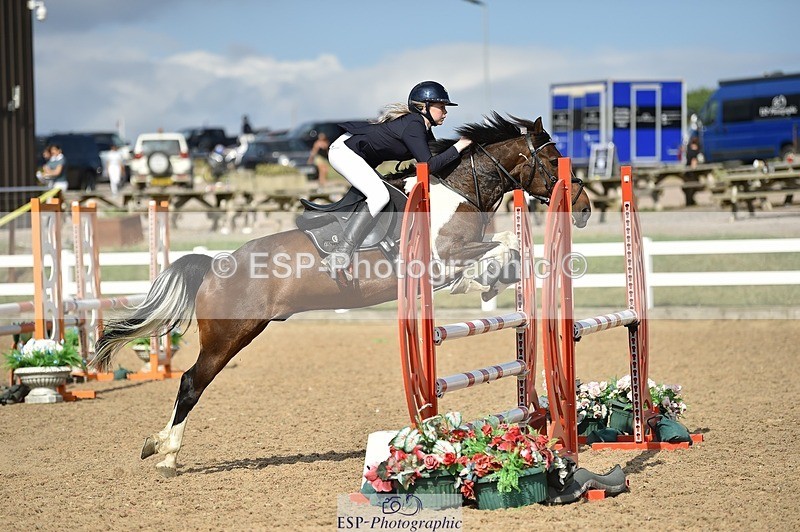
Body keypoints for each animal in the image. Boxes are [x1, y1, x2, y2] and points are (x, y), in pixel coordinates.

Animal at [92, 113, 592, 477]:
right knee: (191, 383)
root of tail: (216, 265)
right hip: (227, 336)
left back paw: (160, 447)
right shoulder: (441, 257)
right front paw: (487, 276)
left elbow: (502, 252)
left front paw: (493, 280)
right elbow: (500, 247)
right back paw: (166, 453)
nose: (585, 209)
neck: (457, 191)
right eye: (554, 161)